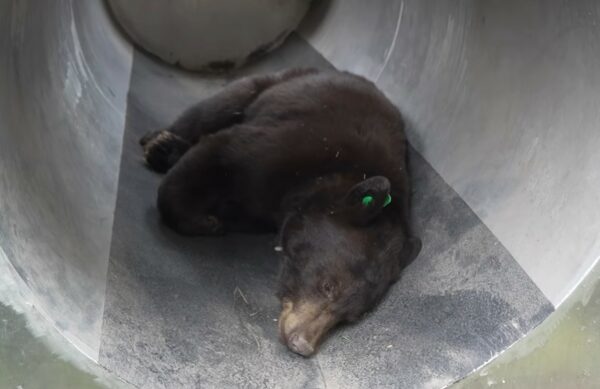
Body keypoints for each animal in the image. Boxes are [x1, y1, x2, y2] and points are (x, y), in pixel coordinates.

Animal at [141, 69, 422, 354]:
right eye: (328, 286)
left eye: (350, 317)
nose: (303, 344)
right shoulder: (285, 146)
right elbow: (219, 151)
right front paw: (205, 221)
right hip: (264, 87)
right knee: (209, 112)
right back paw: (158, 144)